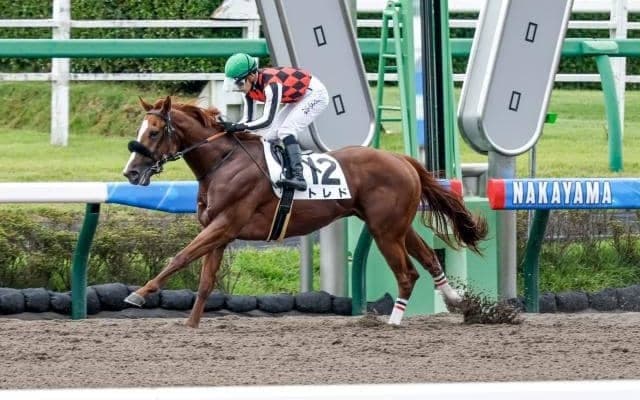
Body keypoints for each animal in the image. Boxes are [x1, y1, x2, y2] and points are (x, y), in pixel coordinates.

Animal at [122, 96, 488, 328]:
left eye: (154, 132)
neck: (224, 162)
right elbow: (206, 282)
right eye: (139, 131)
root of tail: (401, 158)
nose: (130, 173)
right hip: (396, 226)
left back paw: (394, 321)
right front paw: (191, 325)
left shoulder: (225, 225)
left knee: (407, 274)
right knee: (429, 259)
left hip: (385, 230)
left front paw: (138, 295)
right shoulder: (221, 232)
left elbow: (180, 256)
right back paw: (458, 302)